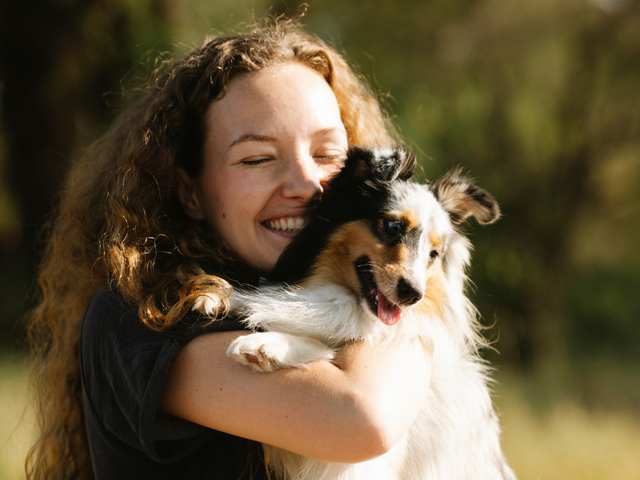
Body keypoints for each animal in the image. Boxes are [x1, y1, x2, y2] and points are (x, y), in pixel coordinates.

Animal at [194, 146, 516, 480]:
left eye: (434, 254)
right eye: (392, 226)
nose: (413, 295)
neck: (349, 301)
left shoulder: (354, 465)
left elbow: (324, 343)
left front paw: (265, 345)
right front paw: (221, 297)